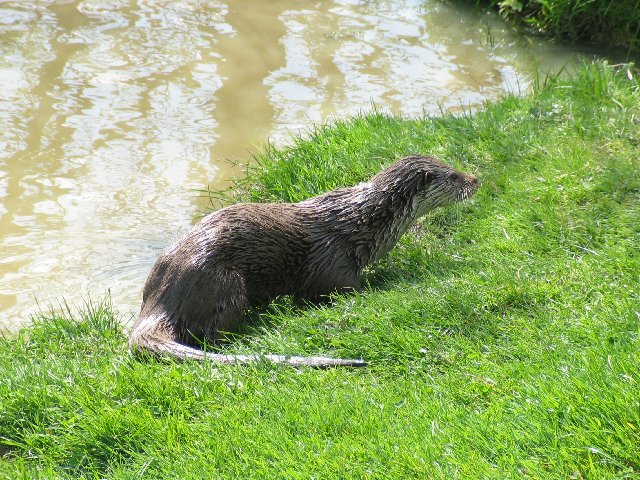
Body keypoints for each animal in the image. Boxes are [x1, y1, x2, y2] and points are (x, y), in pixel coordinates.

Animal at [130, 156, 478, 366]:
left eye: (453, 166)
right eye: (453, 176)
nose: (475, 179)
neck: (363, 224)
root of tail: (159, 304)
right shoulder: (334, 265)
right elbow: (342, 290)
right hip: (225, 283)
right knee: (211, 334)